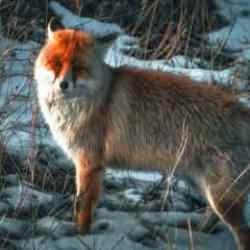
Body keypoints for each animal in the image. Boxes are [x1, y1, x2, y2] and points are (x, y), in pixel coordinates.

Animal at [34, 25, 250, 250]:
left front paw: (80, 237)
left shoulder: (90, 163)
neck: (96, 99)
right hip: (201, 186)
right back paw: (196, 232)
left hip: (222, 197)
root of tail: (243, 111)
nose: (63, 84)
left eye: (79, 67)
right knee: (213, 218)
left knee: (243, 233)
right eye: (56, 63)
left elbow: (83, 209)